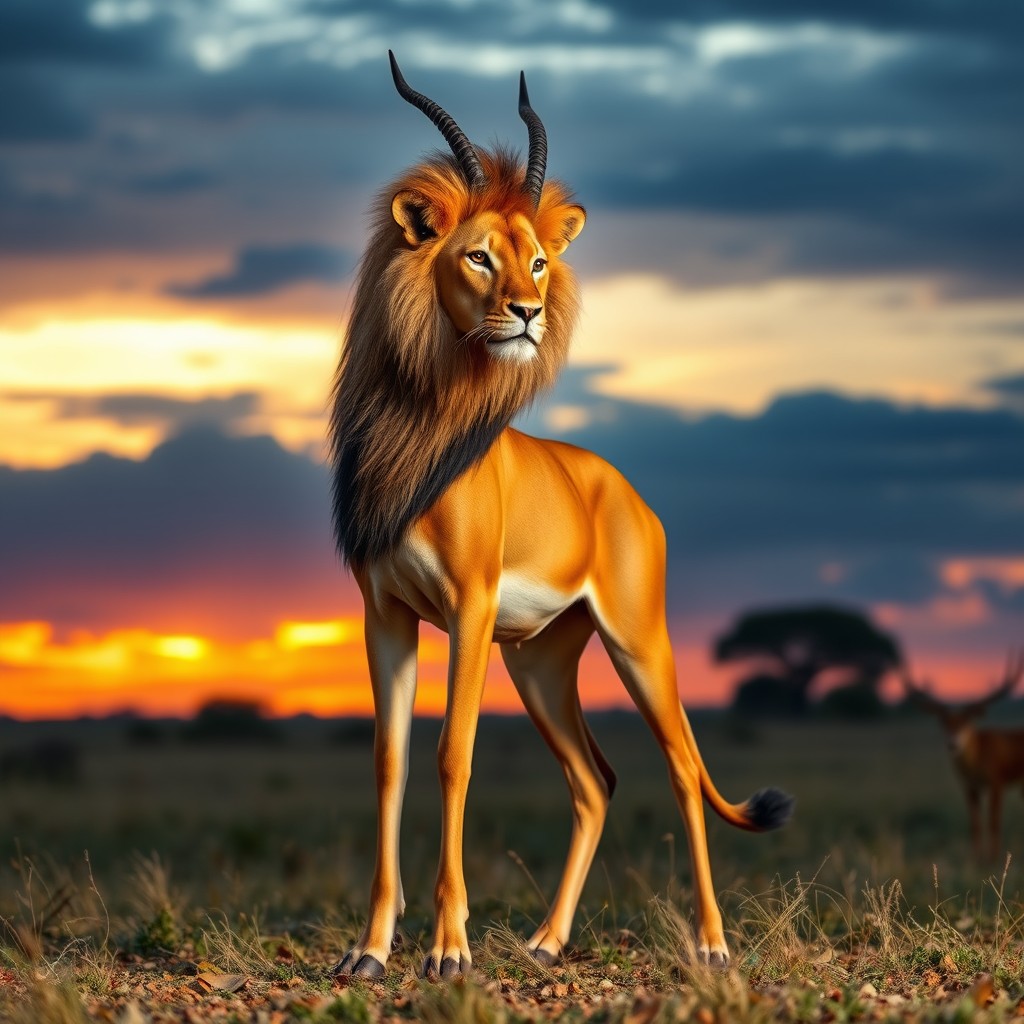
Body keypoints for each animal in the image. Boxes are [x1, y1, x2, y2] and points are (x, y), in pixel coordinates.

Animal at [329, 52, 793, 981]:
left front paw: (449, 950)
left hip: (638, 641)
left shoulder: (467, 607)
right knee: (595, 780)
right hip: (541, 662)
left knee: (681, 768)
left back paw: (713, 945)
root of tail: (627, 492)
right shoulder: (385, 611)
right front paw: (369, 951)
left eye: (539, 262)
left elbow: (454, 754)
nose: (528, 314)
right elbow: (391, 762)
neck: (419, 433)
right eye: (476, 256)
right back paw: (546, 940)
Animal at [903, 651, 1024, 861]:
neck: (978, 757)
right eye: (944, 721)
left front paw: (993, 859)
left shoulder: (996, 783)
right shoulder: (969, 787)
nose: (952, 743)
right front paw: (976, 860)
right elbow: (974, 825)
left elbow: (994, 822)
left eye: (966, 721)